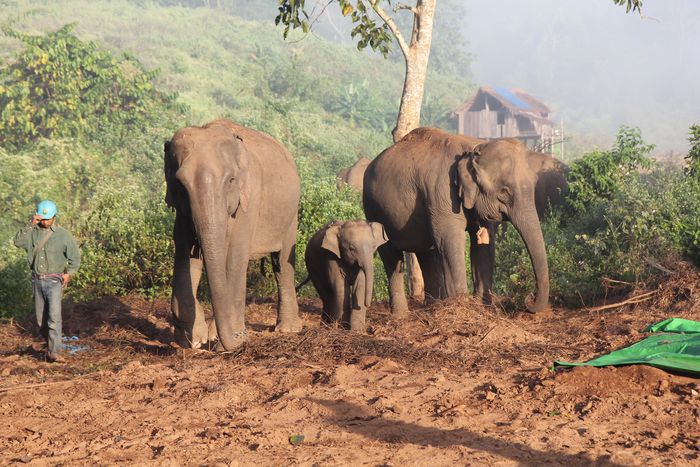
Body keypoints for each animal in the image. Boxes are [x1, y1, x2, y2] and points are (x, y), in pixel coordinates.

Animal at [164, 119, 302, 350]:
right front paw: (193, 340)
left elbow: (234, 259)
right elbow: (184, 255)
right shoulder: (182, 213)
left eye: (231, 180)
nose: (239, 341)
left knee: (282, 263)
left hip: (291, 215)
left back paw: (288, 330)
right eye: (180, 184)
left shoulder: (250, 199)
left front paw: (228, 340)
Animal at [363, 127, 549, 315]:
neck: (475, 148)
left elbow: (485, 243)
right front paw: (464, 309)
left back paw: (435, 307)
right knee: (391, 256)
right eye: (504, 191)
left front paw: (486, 310)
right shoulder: (442, 192)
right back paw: (400, 315)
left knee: (427, 254)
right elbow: (449, 240)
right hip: (372, 206)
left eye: (535, 183)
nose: (530, 297)